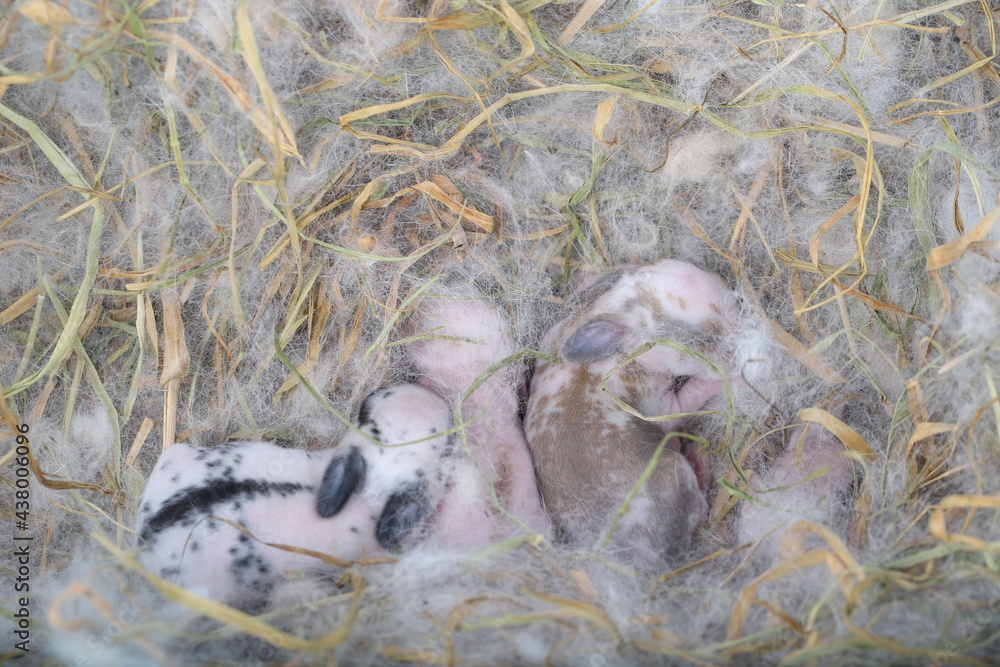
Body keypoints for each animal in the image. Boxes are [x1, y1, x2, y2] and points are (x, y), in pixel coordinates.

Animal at [524, 259, 740, 567]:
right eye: (699, 342)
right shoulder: (660, 406)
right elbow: (685, 402)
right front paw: (725, 378)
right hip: (676, 475)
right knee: (701, 509)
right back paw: (698, 456)